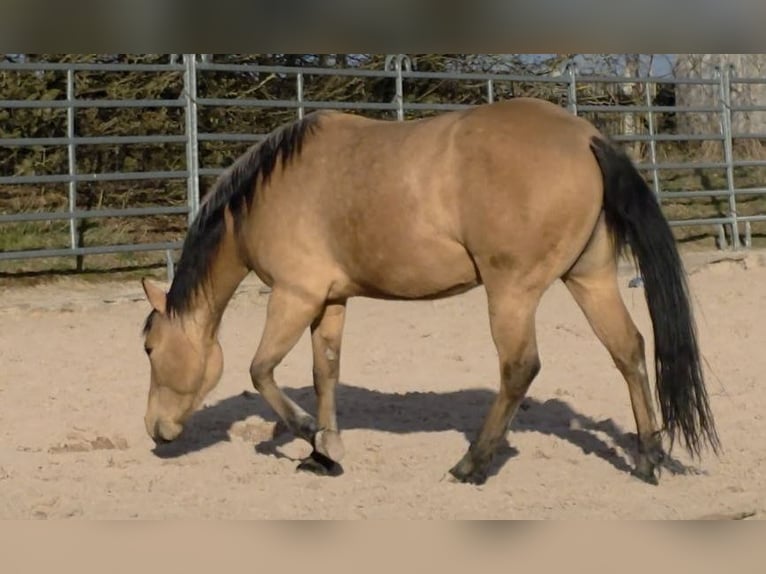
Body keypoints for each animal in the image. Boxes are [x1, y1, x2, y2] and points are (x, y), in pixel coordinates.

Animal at [140, 97, 719, 485]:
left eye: (148, 347)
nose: (154, 429)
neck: (270, 191)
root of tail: (584, 137)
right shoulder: (330, 301)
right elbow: (325, 373)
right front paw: (325, 453)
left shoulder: (294, 295)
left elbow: (261, 370)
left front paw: (306, 432)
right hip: (589, 279)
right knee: (629, 351)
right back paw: (647, 459)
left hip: (511, 292)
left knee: (519, 368)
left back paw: (471, 464)